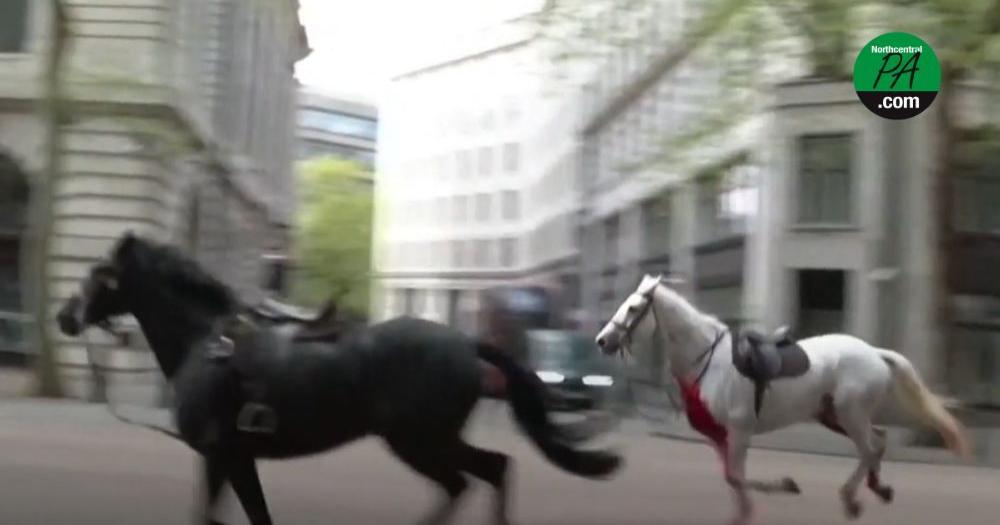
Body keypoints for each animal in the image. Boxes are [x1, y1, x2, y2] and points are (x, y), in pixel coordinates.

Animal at [54, 233, 620, 524]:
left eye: (102, 275)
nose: (64, 316)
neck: (206, 345)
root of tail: (463, 342)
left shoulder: (223, 454)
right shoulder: (234, 458)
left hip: (419, 440)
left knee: (477, 476)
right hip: (427, 440)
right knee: (485, 473)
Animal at [592, 274, 968, 524]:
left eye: (634, 308)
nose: (603, 341)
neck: (708, 361)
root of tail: (874, 352)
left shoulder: (739, 430)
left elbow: (737, 477)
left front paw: (786, 486)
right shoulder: (719, 436)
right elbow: (732, 477)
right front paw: (745, 511)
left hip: (850, 413)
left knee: (871, 447)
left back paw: (852, 499)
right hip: (835, 415)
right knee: (878, 441)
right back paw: (877, 489)